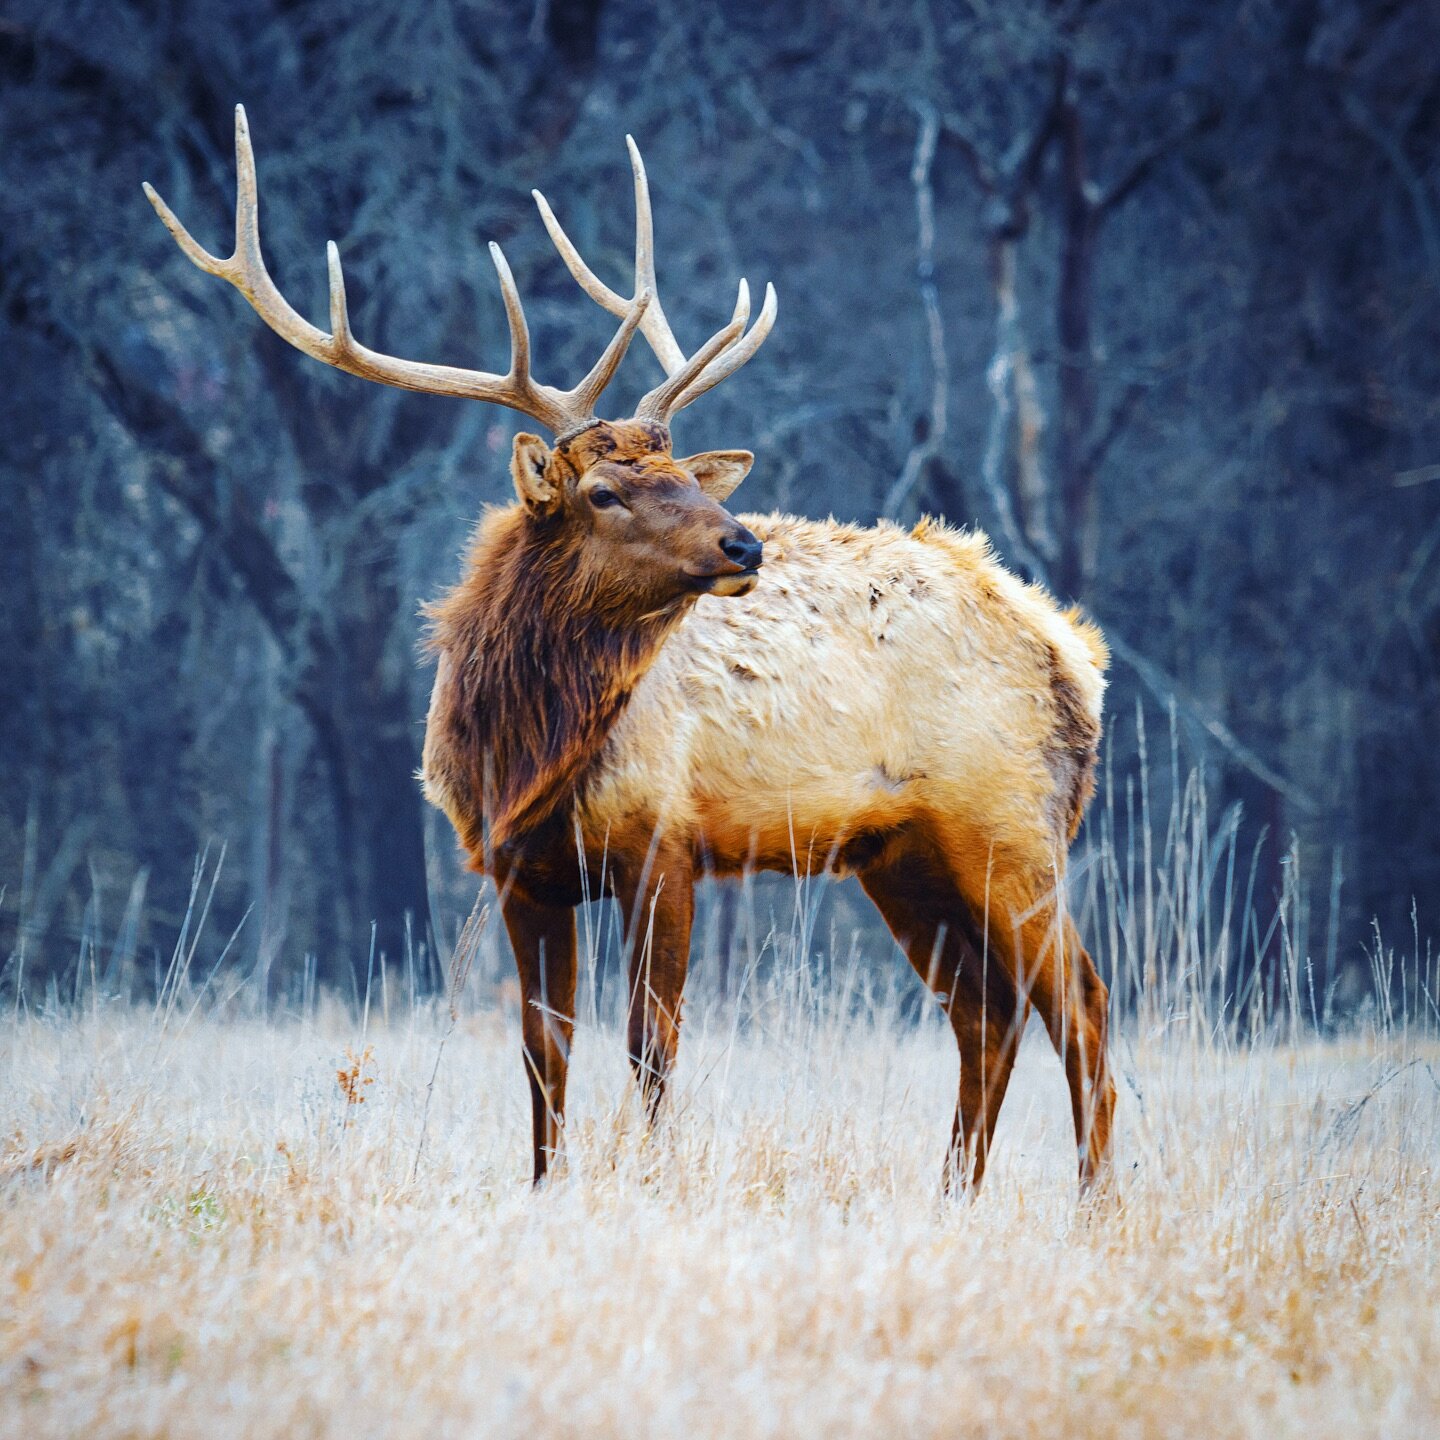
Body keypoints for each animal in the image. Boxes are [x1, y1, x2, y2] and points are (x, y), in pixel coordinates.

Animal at [143, 106, 1111, 1198]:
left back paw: (1090, 1203)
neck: (519, 751)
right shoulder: (519, 871)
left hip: (1009, 824)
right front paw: (544, 1186)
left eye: (683, 471)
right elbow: (543, 1046)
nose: (744, 545)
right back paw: (955, 1196)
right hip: (903, 854)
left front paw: (646, 1182)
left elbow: (652, 1043)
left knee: (1079, 1003)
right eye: (603, 492)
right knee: (985, 1011)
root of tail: (1072, 652)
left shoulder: (667, 842)